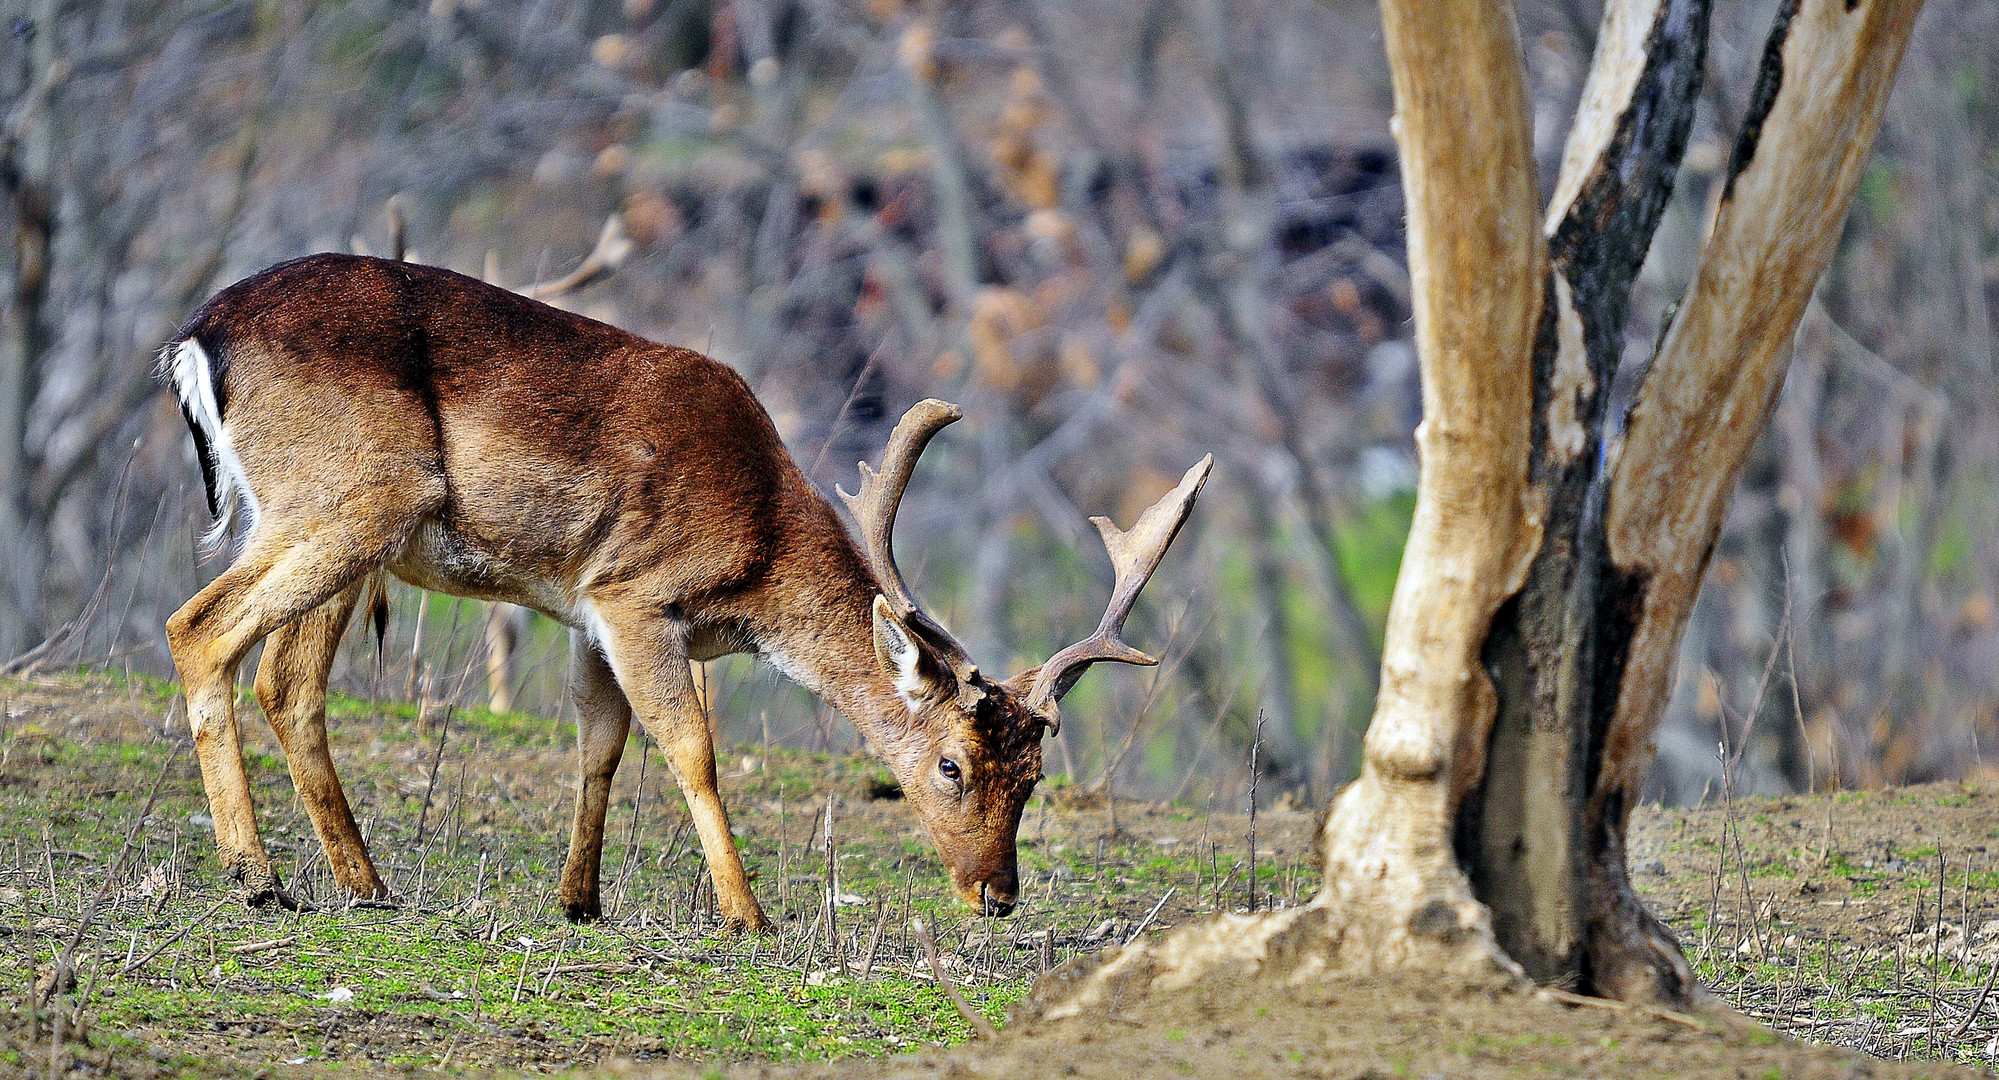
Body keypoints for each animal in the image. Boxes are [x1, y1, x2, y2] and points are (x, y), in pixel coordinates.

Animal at [155, 249, 1207, 924]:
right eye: (951, 765)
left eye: (1034, 777)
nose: (997, 894)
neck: (756, 559)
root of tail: (197, 341)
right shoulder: (634, 594)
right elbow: (692, 747)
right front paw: (748, 914)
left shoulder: (583, 611)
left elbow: (601, 743)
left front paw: (578, 900)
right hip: (350, 497)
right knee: (199, 626)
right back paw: (258, 878)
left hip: (336, 526)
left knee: (287, 679)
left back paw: (364, 883)